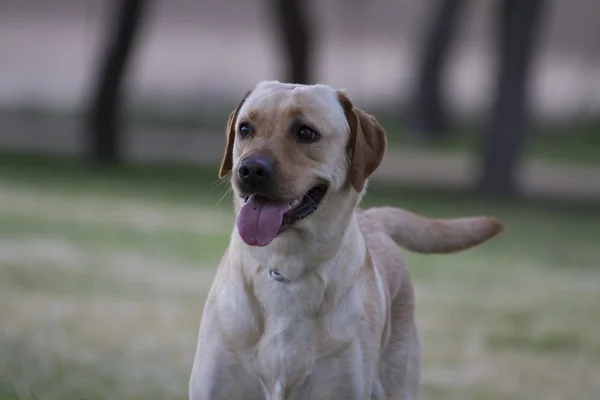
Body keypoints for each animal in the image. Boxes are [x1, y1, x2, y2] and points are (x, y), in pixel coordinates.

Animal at [190, 79, 504, 398]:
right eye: (245, 129)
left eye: (305, 132)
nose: (251, 169)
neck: (285, 267)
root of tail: (372, 219)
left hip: (398, 382)